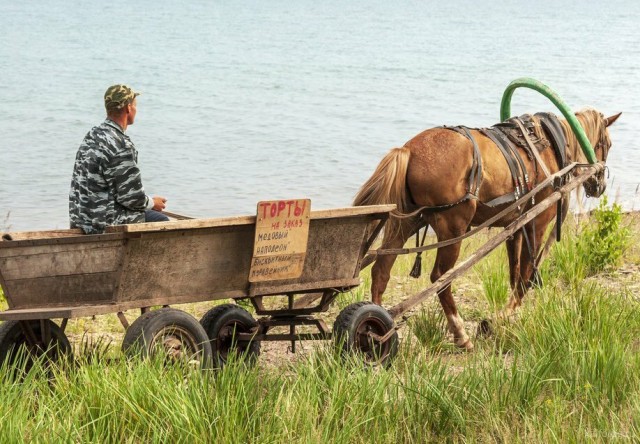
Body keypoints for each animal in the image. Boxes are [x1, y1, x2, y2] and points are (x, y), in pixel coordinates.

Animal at [356, 108, 620, 350]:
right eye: (607, 143)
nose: (600, 186)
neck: (551, 145)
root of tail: (408, 151)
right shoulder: (537, 221)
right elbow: (526, 273)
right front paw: (507, 314)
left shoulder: (516, 225)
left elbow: (515, 273)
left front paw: (509, 314)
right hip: (453, 227)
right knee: (440, 278)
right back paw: (459, 334)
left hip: (406, 222)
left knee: (381, 271)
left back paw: (380, 326)